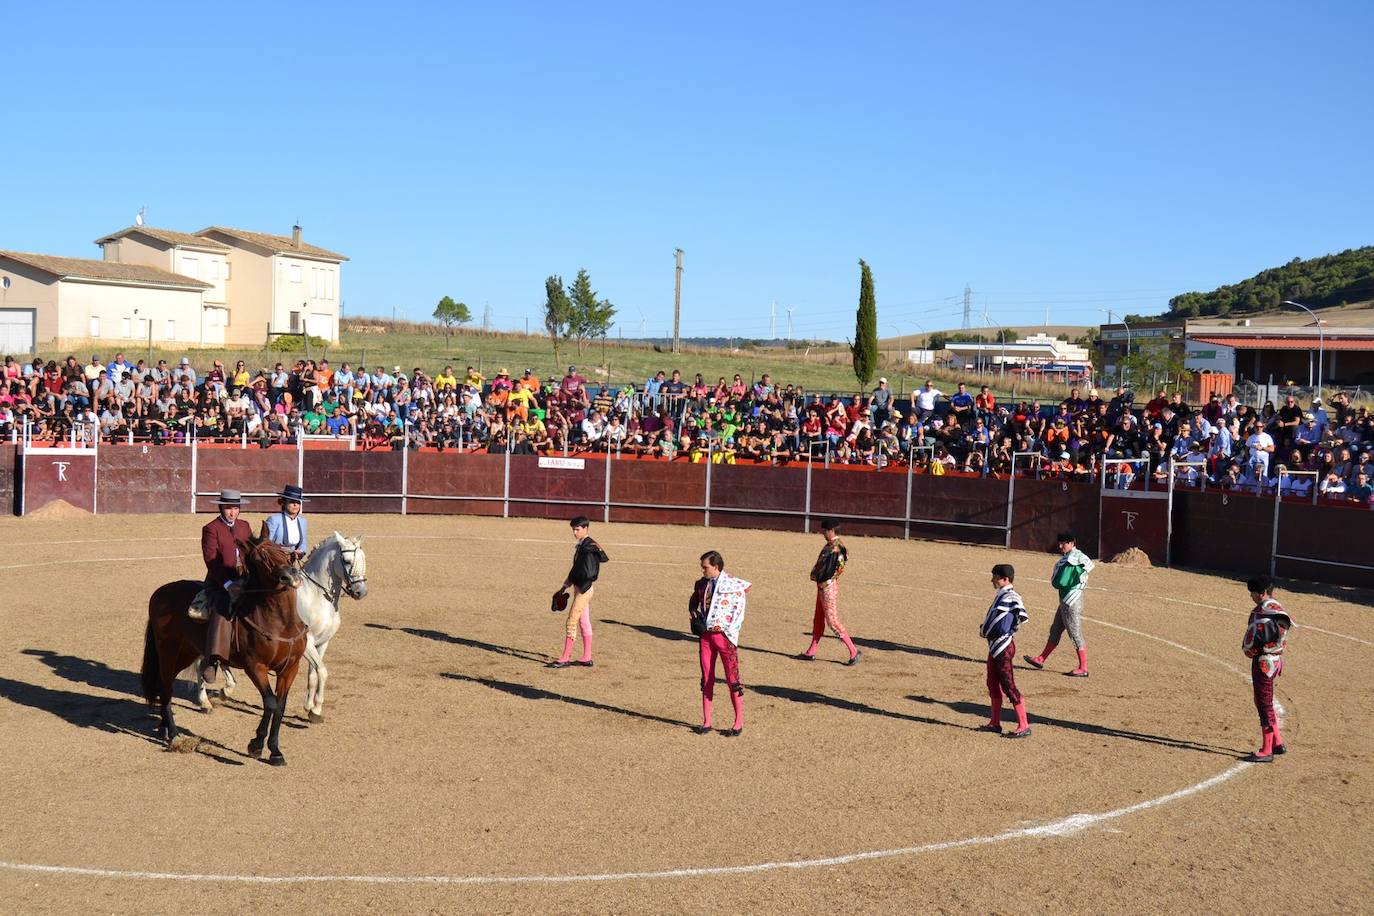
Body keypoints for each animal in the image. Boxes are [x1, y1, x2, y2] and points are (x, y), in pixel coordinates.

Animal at [142, 538, 309, 769]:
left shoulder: (290, 668)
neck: (281, 623)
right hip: (168, 651)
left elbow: (280, 707)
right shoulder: (255, 667)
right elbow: (270, 702)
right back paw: (174, 734)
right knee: (165, 686)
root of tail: (160, 592)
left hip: (185, 653)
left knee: (163, 684)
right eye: (259, 559)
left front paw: (275, 751)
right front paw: (256, 745)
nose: (289, 575)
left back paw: (165, 728)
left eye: (283, 551)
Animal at [193, 530, 368, 725]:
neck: (316, 597)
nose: (361, 591)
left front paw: (310, 707)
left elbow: (313, 674)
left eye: (363, 557)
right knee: (201, 665)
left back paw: (225, 691)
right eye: (346, 560)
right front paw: (315, 709)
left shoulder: (323, 642)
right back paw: (205, 702)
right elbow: (322, 671)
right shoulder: (307, 644)